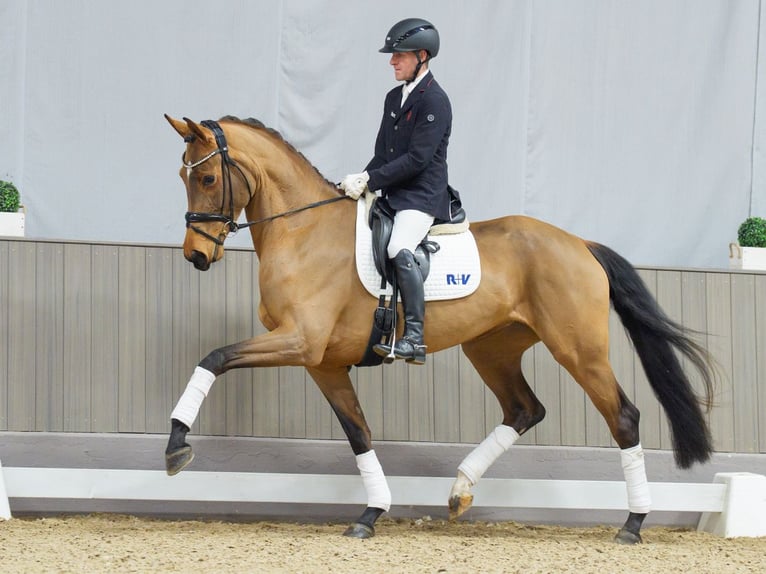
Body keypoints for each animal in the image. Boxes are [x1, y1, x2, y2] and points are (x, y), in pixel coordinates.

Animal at [165, 115, 716, 548]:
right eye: (182, 176)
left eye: (208, 177)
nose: (196, 255)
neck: (304, 233)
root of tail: (579, 243)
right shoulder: (322, 361)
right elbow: (359, 433)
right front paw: (372, 513)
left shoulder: (301, 341)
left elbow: (213, 358)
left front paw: (176, 446)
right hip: (491, 348)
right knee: (524, 409)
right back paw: (460, 490)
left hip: (579, 350)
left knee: (623, 417)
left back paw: (633, 523)